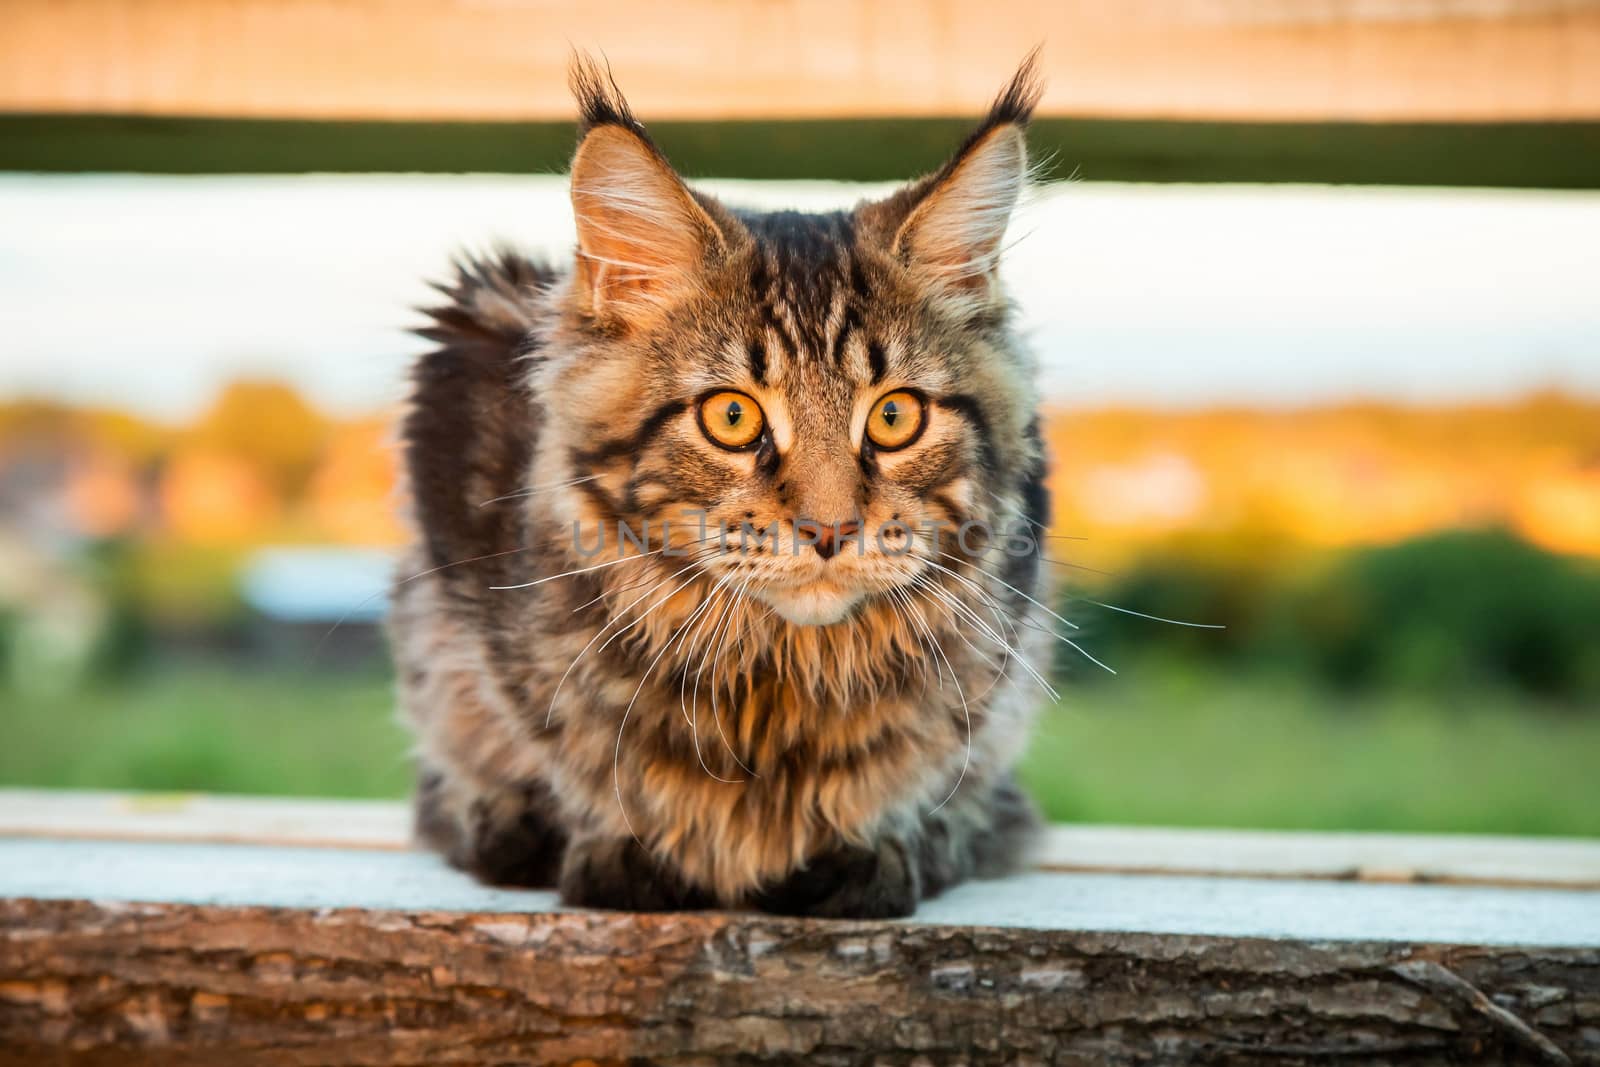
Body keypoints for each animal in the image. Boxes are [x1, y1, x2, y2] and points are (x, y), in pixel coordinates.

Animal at [390, 56, 1049, 921]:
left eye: (895, 416)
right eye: (732, 417)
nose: (830, 530)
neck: (775, 682)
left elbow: (939, 764)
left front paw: (878, 843)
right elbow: (554, 740)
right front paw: (611, 840)